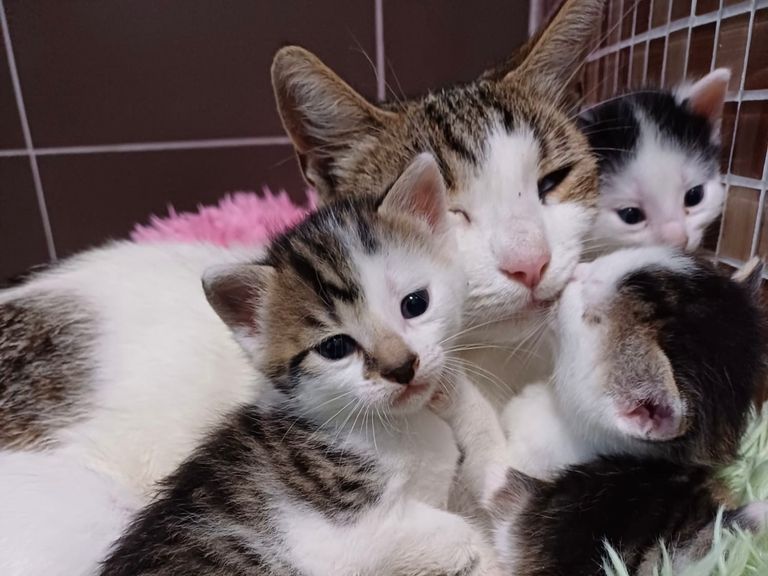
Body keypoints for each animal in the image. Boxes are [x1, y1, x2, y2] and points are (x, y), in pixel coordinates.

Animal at [99, 153, 500, 576]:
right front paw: (472, 546)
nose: (402, 368)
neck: (400, 426)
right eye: (336, 347)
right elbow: (444, 530)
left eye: (415, 303)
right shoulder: (329, 534)